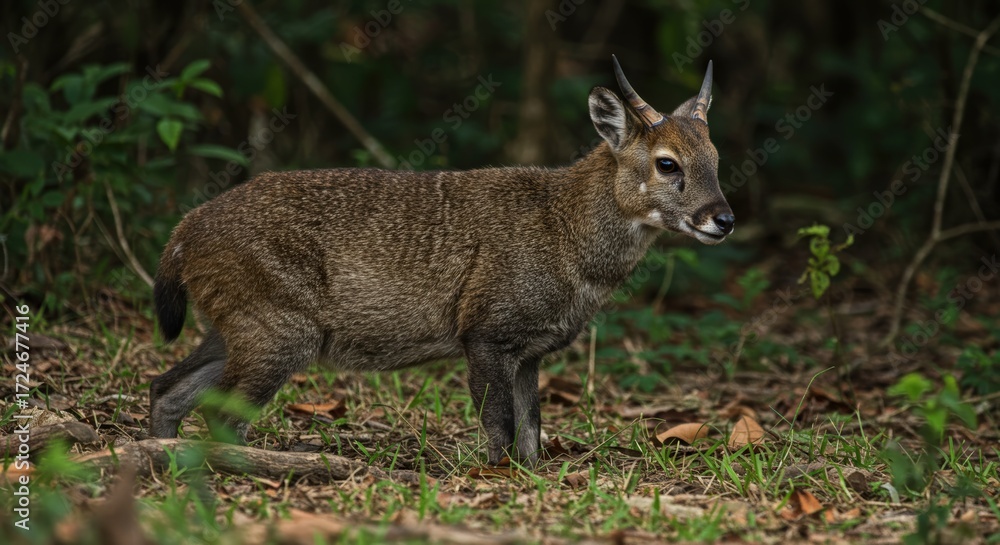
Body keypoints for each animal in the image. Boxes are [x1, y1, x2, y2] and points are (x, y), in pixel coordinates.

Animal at [150, 57, 733, 467]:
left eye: (716, 160)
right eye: (667, 164)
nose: (723, 219)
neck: (566, 237)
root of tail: (181, 233)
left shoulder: (530, 351)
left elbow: (532, 437)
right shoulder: (486, 331)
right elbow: (499, 430)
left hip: (235, 327)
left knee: (166, 390)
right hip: (279, 329)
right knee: (218, 414)